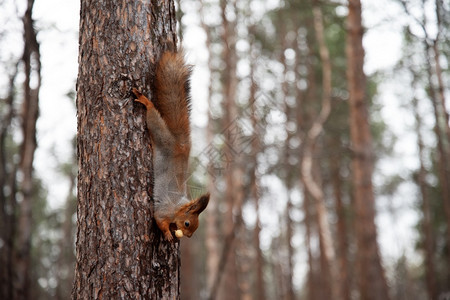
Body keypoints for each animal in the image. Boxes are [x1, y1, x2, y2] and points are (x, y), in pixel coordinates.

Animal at [132, 44, 209, 241]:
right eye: (188, 223)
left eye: (195, 227)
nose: (187, 237)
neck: (177, 207)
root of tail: (181, 146)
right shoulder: (164, 209)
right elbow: (158, 220)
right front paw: (167, 233)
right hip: (162, 136)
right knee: (153, 118)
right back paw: (146, 102)